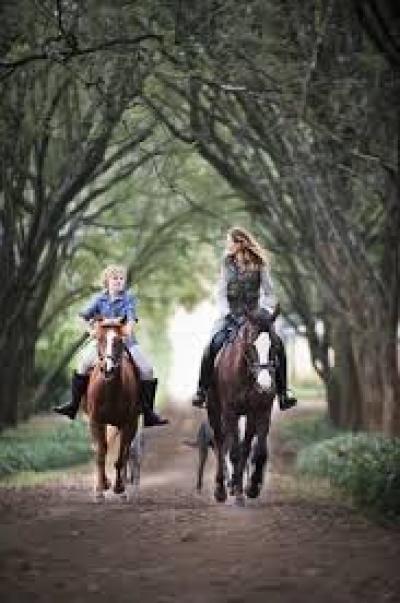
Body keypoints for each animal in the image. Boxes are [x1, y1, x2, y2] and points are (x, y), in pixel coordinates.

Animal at [84, 318, 141, 498]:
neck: (110, 391)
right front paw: (100, 489)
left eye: (119, 341)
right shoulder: (95, 421)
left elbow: (121, 457)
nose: (108, 368)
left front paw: (119, 487)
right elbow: (101, 453)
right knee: (103, 448)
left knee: (125, 451)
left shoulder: (128, 423)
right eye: (100, 339)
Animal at [206, 306, 278, 504]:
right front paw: (236, 491)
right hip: (215, 411)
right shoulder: (230, 412)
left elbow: (259, 452)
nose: (265, 386)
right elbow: (234, 452)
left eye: (275, 345)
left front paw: (252, 488)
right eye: (251, 344)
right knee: (220, 443)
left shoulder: (261, 411)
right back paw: (221, 489)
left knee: (244, 446)